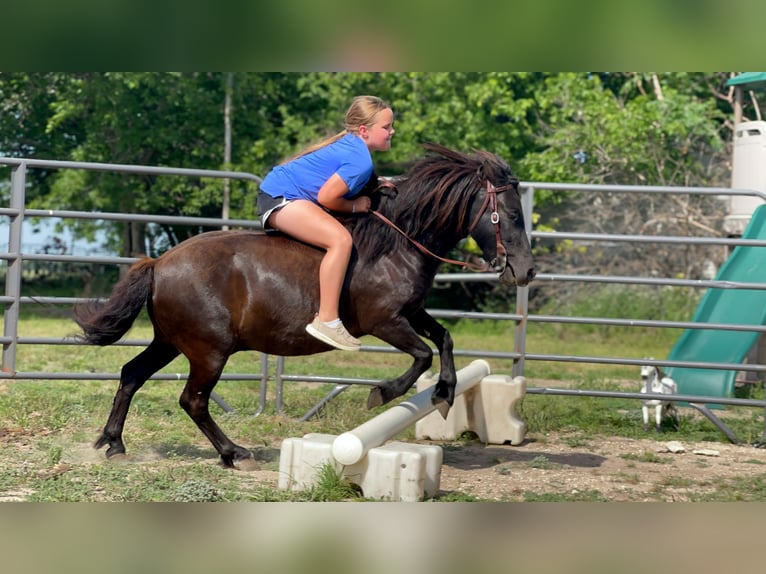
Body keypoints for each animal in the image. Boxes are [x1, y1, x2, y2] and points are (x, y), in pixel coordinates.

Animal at [73, 143, 536, 469]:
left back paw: (114, 444)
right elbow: (422, 355)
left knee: (132, 374)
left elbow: (445, 339)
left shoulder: (411, 312)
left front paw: (444, 393)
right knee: (193, 401)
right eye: (512, 215)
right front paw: (383, 393)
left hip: (171, 342)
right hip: (209, 351)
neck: (400, 241)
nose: (526, 271)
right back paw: (234, 453)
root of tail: (159, 263)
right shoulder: (384, 321)